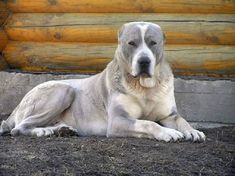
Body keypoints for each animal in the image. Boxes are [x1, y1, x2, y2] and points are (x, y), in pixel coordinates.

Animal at [0, 22, 205, 143]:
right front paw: (167, 132)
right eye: (131, 43)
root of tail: (19, 104)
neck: (144, 87)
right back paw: (43, 132)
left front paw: (192, 131)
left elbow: (181, 119)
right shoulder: (118, 121)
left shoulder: (169, 115)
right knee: (19, 128)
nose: (144, 61)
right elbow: (148, 123)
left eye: (153, 43)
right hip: (63, 90)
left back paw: (61, 130)